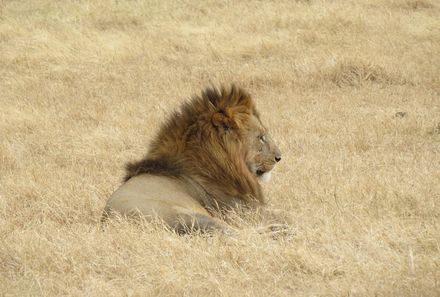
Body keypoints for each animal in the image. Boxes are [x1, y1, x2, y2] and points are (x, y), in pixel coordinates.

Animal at [102, 84, 282, 234]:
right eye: (261, 137)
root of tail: (109, 220)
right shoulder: (242, 209)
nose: (279, 157)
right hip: (190, 216)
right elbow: (282, 215)